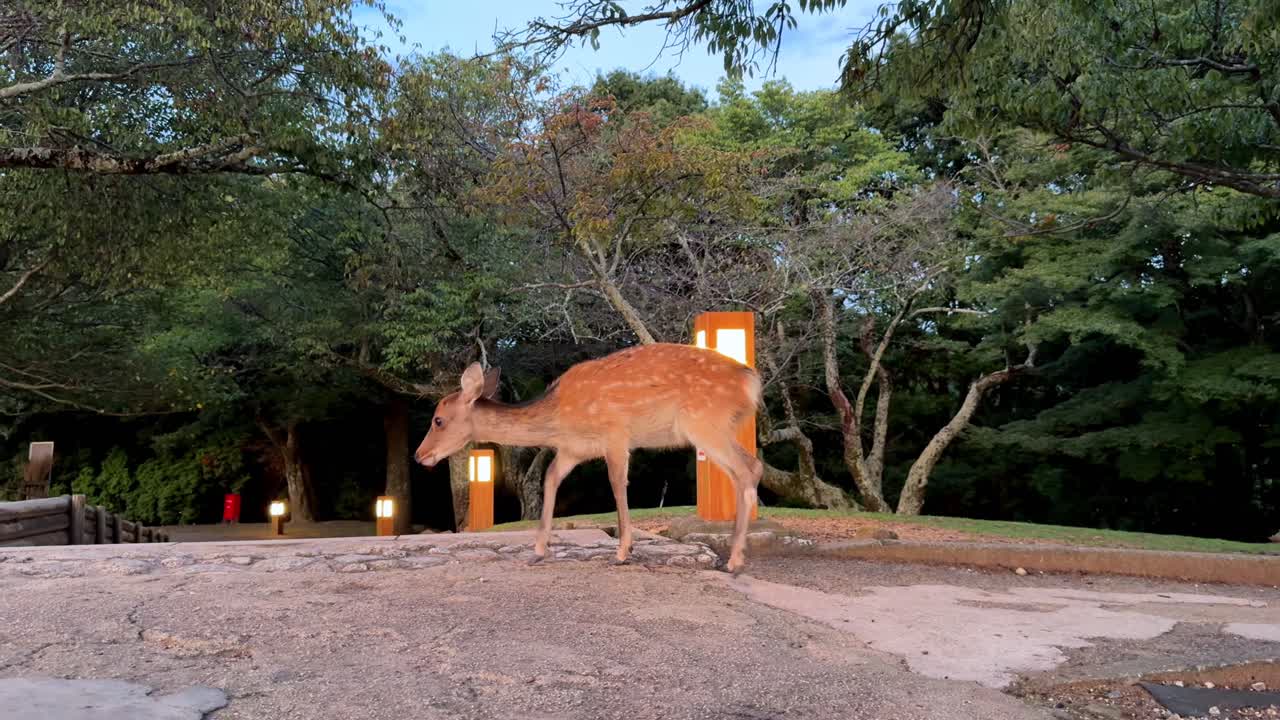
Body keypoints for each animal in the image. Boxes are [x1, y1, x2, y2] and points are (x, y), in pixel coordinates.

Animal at [414, 342, 764, 573]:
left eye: (438, 420)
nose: (420, 455)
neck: (558, 419)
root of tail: (751, 381)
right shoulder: (573, 449)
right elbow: (550, 479)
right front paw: (538, 550)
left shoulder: (616, 435)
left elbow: (617, 485)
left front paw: (623, 551)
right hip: (715, 427)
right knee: (747, 470)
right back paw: (735, 553)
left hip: (705, 423)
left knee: (749, 467)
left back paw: (734, 560)